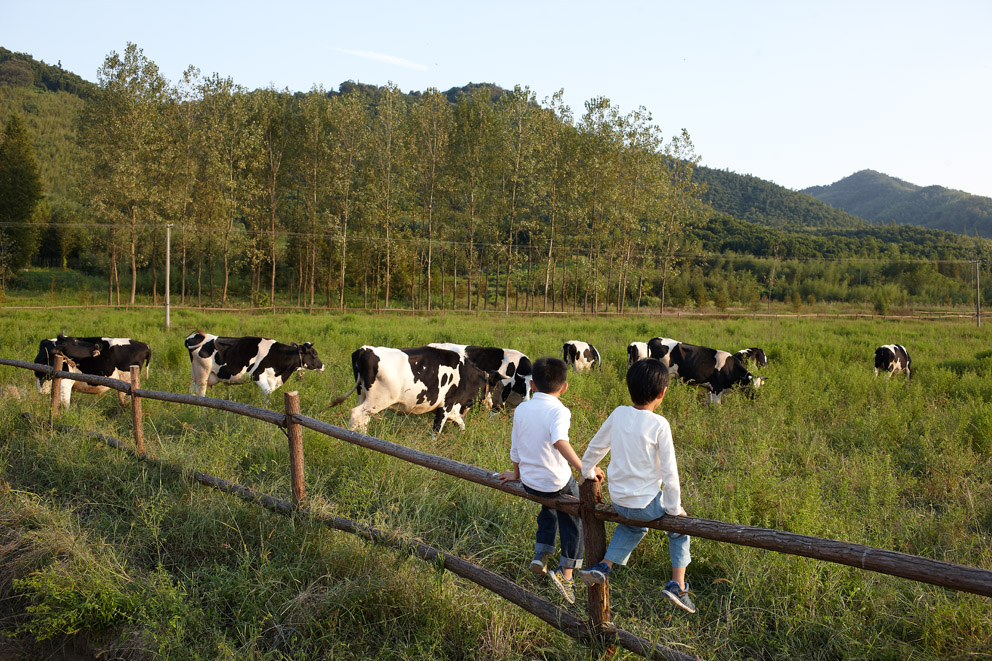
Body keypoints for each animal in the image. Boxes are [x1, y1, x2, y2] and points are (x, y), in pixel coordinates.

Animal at [184, 332, 324, 394]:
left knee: (192, 391)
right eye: (315, 354)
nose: (323, 366)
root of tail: (194, 335)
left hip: (196, 375)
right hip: (202, 374)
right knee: (201, 394)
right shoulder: (257, 376)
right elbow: (267, 394)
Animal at [334, 346, 500, 434]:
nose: (492, 405)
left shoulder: (452, 410)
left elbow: (461, 425)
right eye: (492, 387)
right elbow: (437, 430)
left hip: (363, 396)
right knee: (356, 414)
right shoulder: (446, 406)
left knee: (363, 419)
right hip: (377, 401)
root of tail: (366, 349)